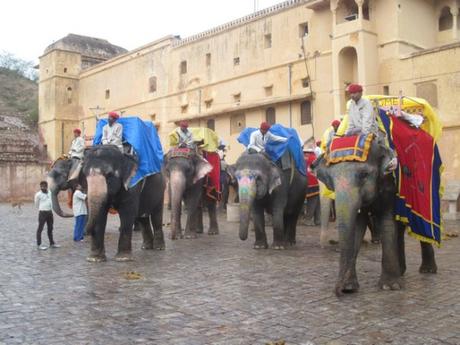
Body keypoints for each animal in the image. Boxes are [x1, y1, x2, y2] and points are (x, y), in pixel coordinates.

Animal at [312, 137, 438, 296]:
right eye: (330, 178)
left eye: (364, 175)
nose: (339, 291)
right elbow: (357, 227)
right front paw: (350, 287)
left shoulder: (391, 182)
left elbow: (387, 222)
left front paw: (390, 287)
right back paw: (401, 270)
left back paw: (428, 270)